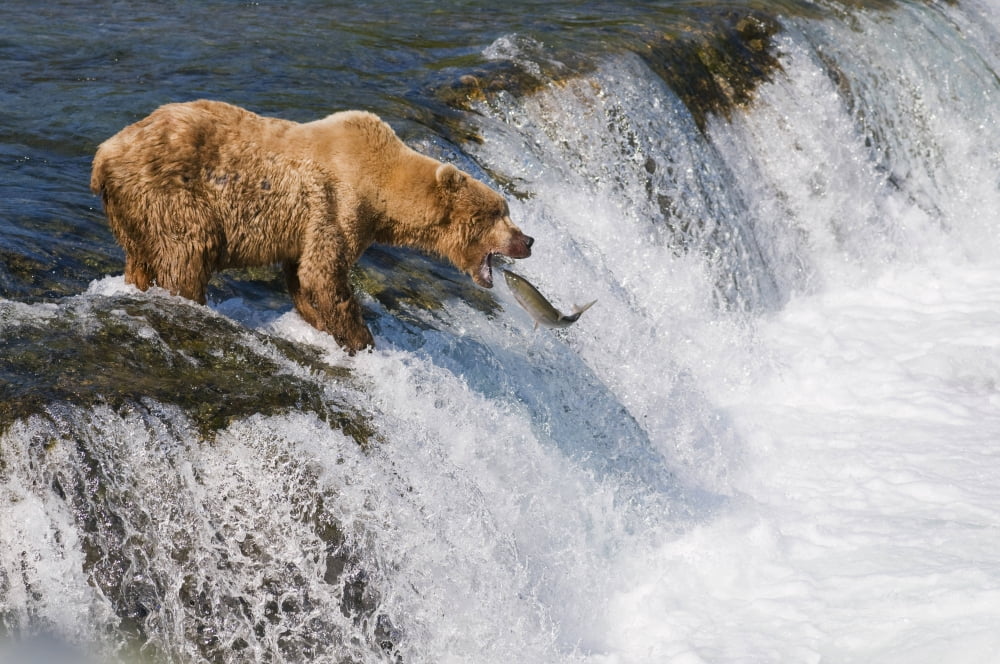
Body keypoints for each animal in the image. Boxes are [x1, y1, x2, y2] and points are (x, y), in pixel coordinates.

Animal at [90, 99, 533, 352]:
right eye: (498, 212)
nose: (528, 239)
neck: (383, 192)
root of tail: (104, 153)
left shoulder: (305, 226)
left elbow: (302, 275)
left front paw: (319, 324)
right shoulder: (338, 206)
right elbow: (324, 273)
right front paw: (360, 339)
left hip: (131, 211)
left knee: (141, 257)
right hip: (171, 192)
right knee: (189, 249)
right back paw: (189, 299)